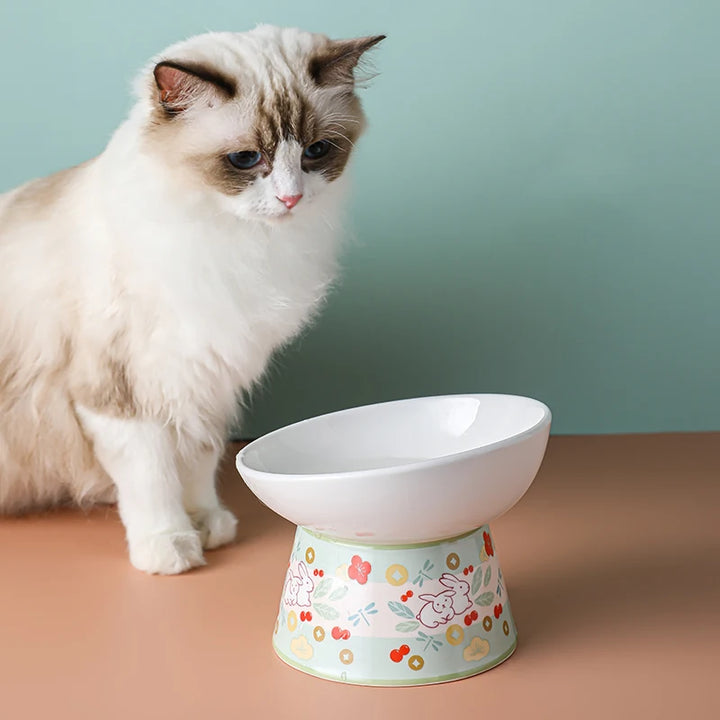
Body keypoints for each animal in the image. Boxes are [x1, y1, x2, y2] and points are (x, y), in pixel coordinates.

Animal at [0, 25, 386, 572]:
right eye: (246, 159)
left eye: (315, 151)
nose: (290, 198)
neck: (232, 242)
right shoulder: (122, 391)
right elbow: (153, 476)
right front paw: (170, 546)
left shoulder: (207, 378)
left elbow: (198, 464)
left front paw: (208, 527)